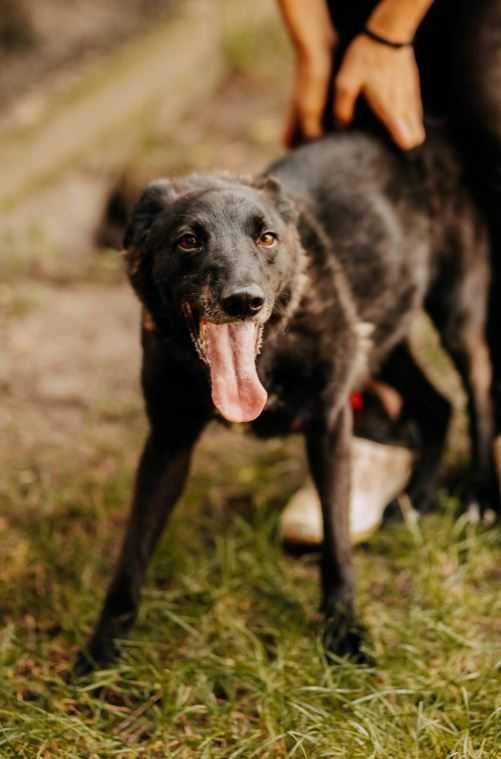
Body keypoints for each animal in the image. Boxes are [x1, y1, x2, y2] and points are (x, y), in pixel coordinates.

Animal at [72, 131, 498, 672]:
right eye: (188, 240)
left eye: (267, 238)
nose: (243, 301)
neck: (267, 354)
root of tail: (435, 130)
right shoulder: (168, 441)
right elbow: (132, 555)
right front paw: (103, 650)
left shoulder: (330, 424)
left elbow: (337, 540)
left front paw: (345, 631)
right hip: (383, 332)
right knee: (438, 405)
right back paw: (416, 500)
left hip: (455, 314)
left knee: (477, 394)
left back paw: (480, 496)